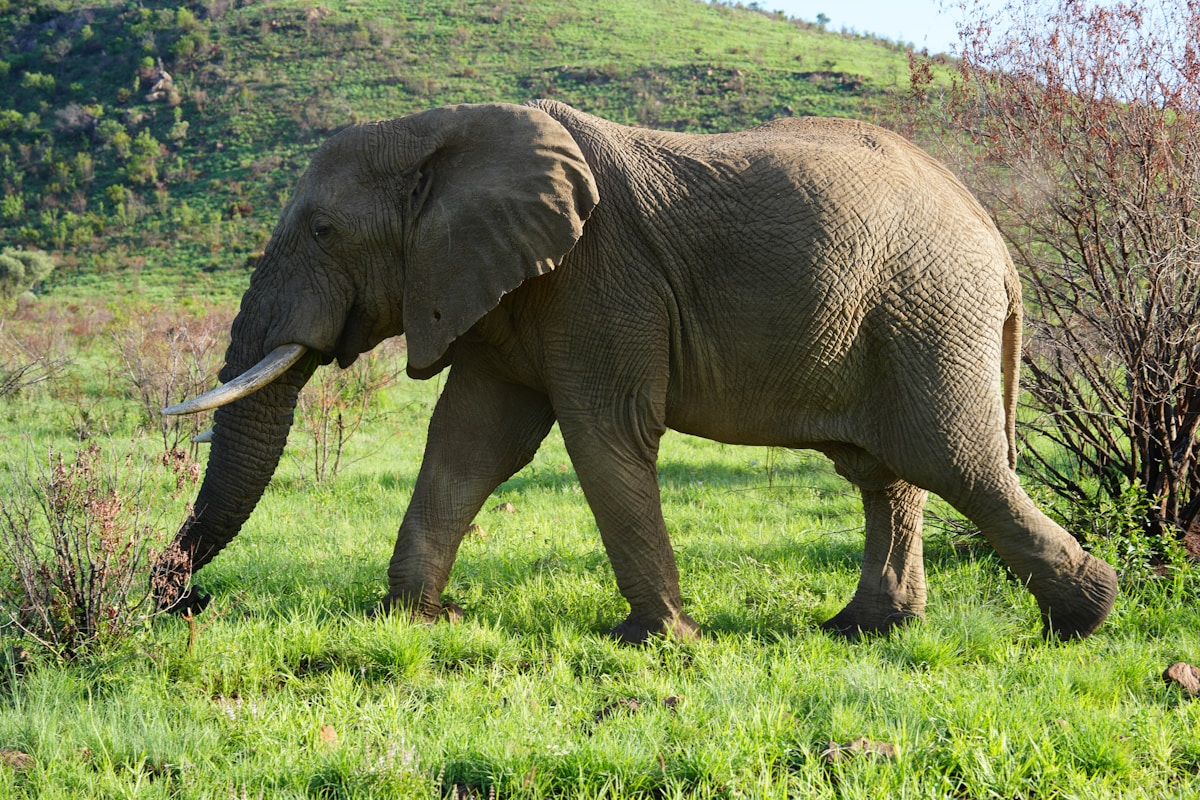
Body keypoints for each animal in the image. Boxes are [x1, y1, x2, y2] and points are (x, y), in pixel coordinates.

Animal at [158, 100, 1118, 644]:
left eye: (322, 231)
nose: (184, 604)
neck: (443, 131)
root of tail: (996, 240)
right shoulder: (507, 287)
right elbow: (471, 444)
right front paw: (416, 623)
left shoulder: (597, 275)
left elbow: (602, 432)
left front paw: (659, 641)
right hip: (900, 318)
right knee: (889, 473)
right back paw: (866, 631)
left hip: (928, 312)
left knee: (957, 463)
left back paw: (1085, 617)